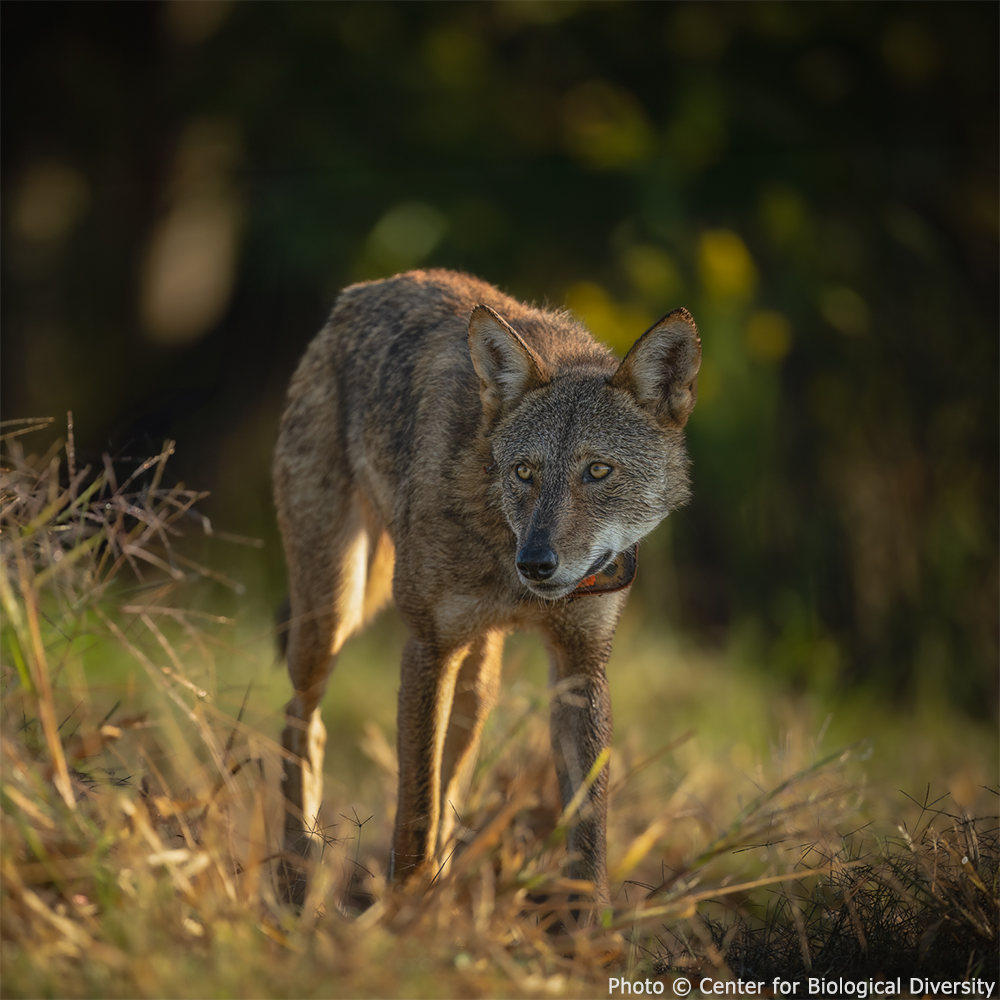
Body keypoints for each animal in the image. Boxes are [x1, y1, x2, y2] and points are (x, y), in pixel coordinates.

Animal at [273, 269, 700, 917]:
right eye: (524, 472)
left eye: (598, 471)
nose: (537, 564)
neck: (501, 540)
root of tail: (365, 289)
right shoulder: (427, 647)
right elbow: (414, 808)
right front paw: (400, 918)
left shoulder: (580, 665)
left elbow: (587, 829)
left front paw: (590, 931)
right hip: (334, 616)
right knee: (302, 722)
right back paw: (299, 882)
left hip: (478, 683)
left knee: (452, 779)